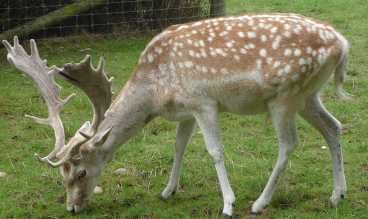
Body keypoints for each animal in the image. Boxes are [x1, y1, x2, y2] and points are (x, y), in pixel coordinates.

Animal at [2, 12, 350, 216]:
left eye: (81, 172)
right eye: (62, 176)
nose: (72, 207)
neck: (156, 93)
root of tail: (343, 44)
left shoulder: (203, 102)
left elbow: (215, 151)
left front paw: (228, 203)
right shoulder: (186, 111)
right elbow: (179, 147)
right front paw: (167, 191)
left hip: (284, 95)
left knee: (289, 143)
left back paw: (259, 203)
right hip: (308, 95)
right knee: (334, 126)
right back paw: (337, 196)